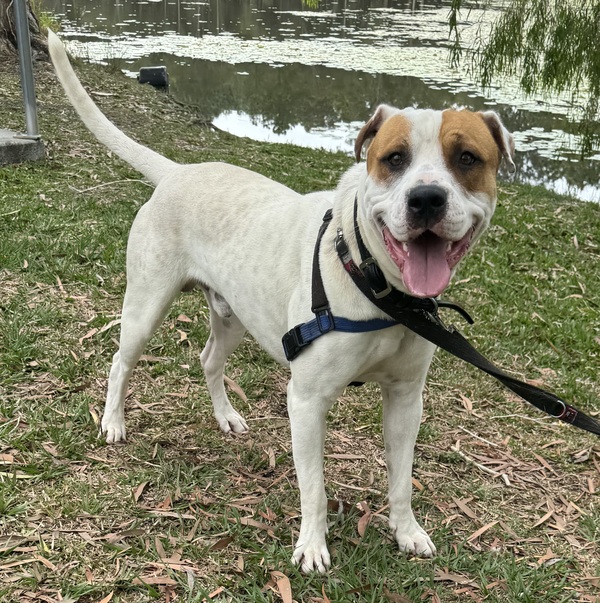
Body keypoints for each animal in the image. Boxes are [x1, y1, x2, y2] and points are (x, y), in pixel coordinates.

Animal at [48, 30, 515, 573]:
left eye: (468, 159)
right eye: (394, 158)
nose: (426, 200)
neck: (376, 284)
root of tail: (178, 172)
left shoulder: (405, 399)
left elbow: (401, 479)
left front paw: (407, 531)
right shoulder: (307, 401)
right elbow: (314, 487)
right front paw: (312, 545)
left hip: (232, 314)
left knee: (208, 360)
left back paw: (226, 416)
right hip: (145, 307)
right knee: (121, 362)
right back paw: (114, 422)